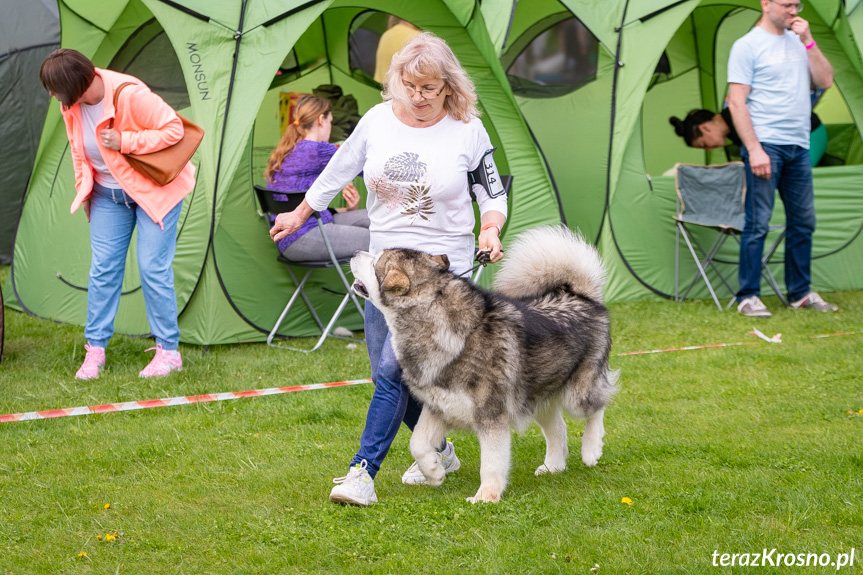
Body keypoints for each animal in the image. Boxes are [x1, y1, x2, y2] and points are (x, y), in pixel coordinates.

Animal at [352, 226, 620, 504]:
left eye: (375, 262)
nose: (355, 252)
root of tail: (581, 296)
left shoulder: (491, 416)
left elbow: (491, 463)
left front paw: (485, 497)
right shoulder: (438, 407)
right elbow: (417, 444)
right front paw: (435, 473)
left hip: (578, 394)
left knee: (599, 405)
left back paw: (591, 449)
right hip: (535, 396)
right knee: (558, 427)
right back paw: (553, 466)